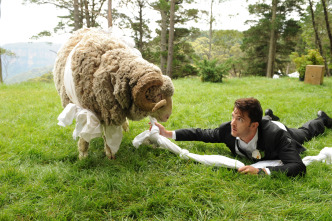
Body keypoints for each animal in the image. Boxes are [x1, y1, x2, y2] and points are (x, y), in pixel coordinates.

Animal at [53, 28, 174, 159]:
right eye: (158, 96)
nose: (167, 116)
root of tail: (86, 28)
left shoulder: (110, 112)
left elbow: (109, 135)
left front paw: (110, 153)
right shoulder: (89, 111)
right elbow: (85, 136)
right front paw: (83, 155)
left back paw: (126, 128)